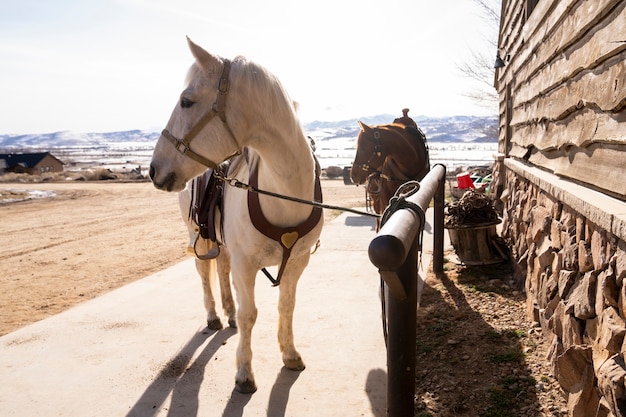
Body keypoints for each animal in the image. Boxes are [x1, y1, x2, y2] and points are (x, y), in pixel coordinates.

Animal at [147, 36, 322, 394]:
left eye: (186, 101)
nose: (154, 169)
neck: (283, 194)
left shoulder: (298, 262)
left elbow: (286, 305)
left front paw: (290, 354)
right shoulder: (246, 264)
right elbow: (249, 314)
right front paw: (244, 372)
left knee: (222, 268)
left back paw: (226, 311)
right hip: (197, 235)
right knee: (205, 272)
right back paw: (215, 315)